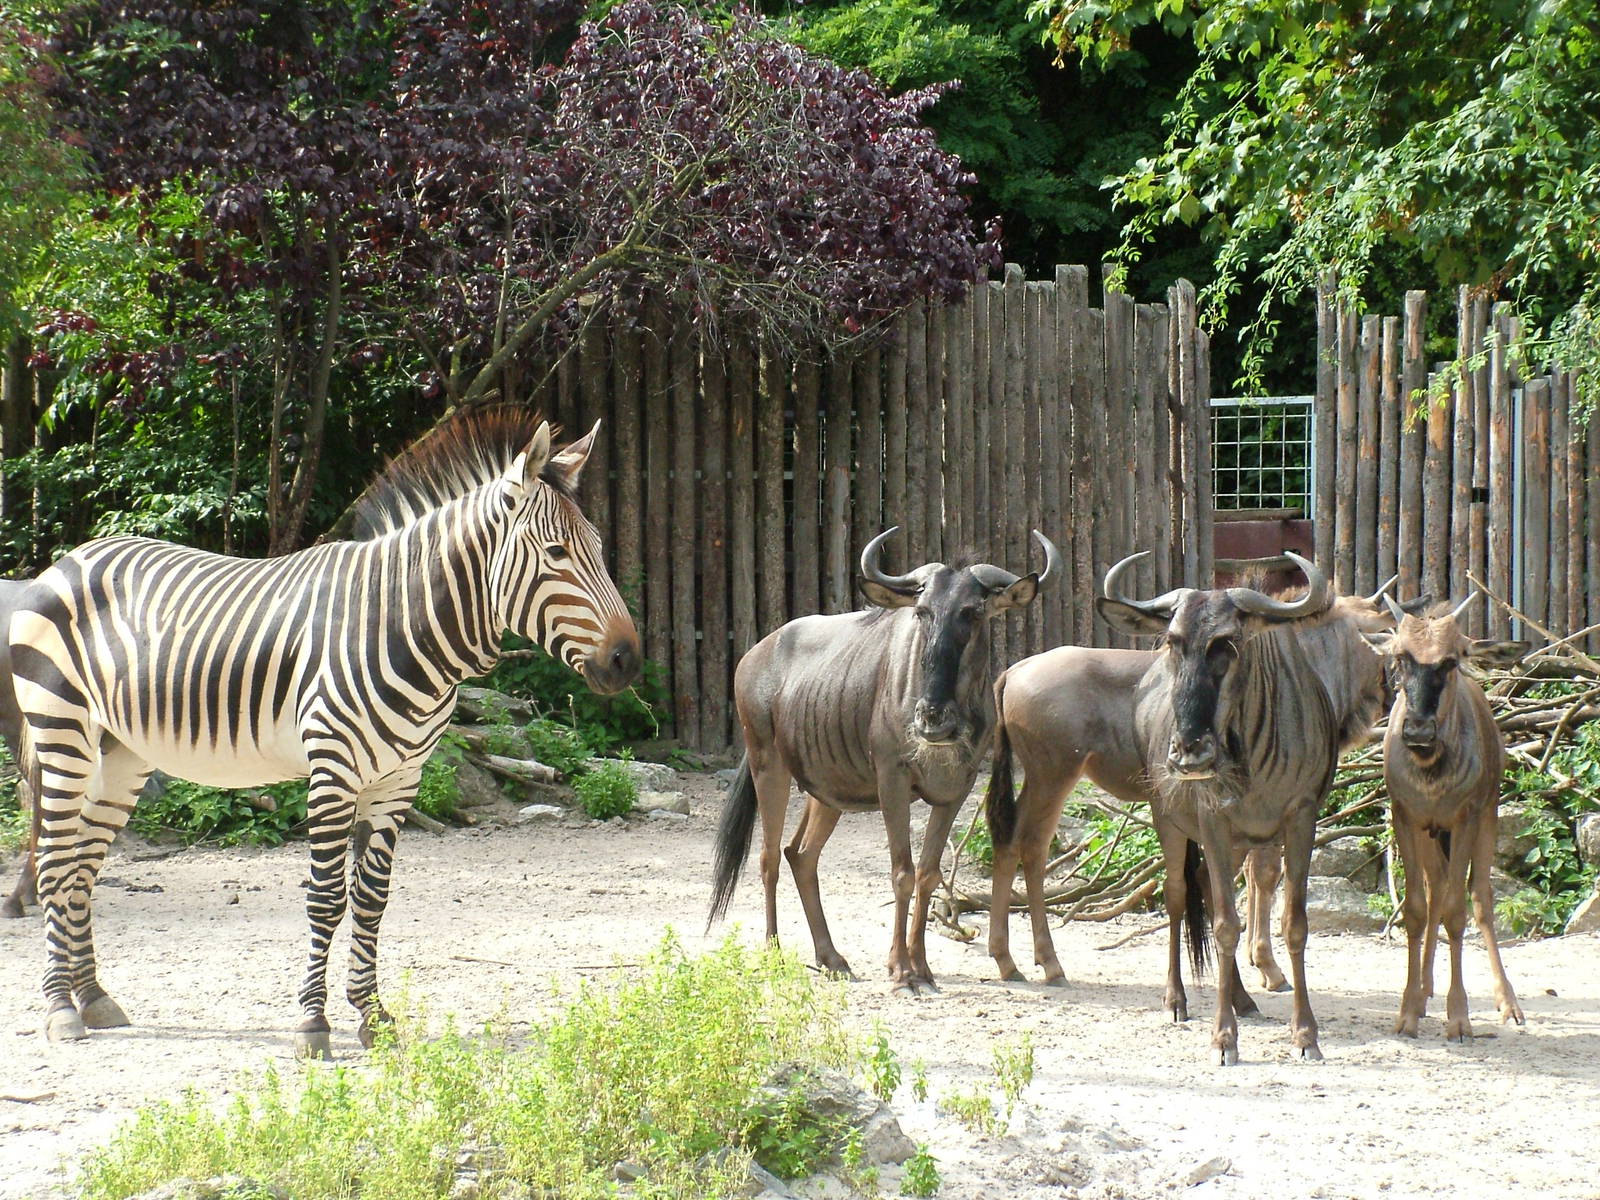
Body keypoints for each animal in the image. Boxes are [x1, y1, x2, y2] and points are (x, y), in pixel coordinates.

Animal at [9, 406, 641, 1056]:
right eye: (557, 552)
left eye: (597, 547)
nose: (627, 661)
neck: (400, 622)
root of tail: (68, 560)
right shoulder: (333, 770)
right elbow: (326, 897)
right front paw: (313, 1024)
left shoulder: (399, 779)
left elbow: (372, 898)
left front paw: (373, 1016)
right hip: (63, 734)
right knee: (55, 862)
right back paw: (61, 1009)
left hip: (121, 755)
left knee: (84, 866)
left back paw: (93, 997)